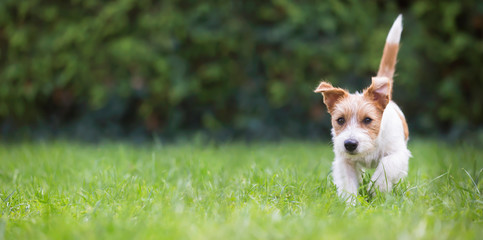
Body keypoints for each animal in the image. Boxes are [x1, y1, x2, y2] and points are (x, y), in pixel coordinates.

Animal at [314, 14, 412, 202]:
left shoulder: (397, 153)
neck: (372, 145)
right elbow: (348, 183)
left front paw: (377, 189)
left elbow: (386, 166)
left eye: (368, 120)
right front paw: (350, 204)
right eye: (340, 120)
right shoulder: (344, 161)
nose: (350, 144)